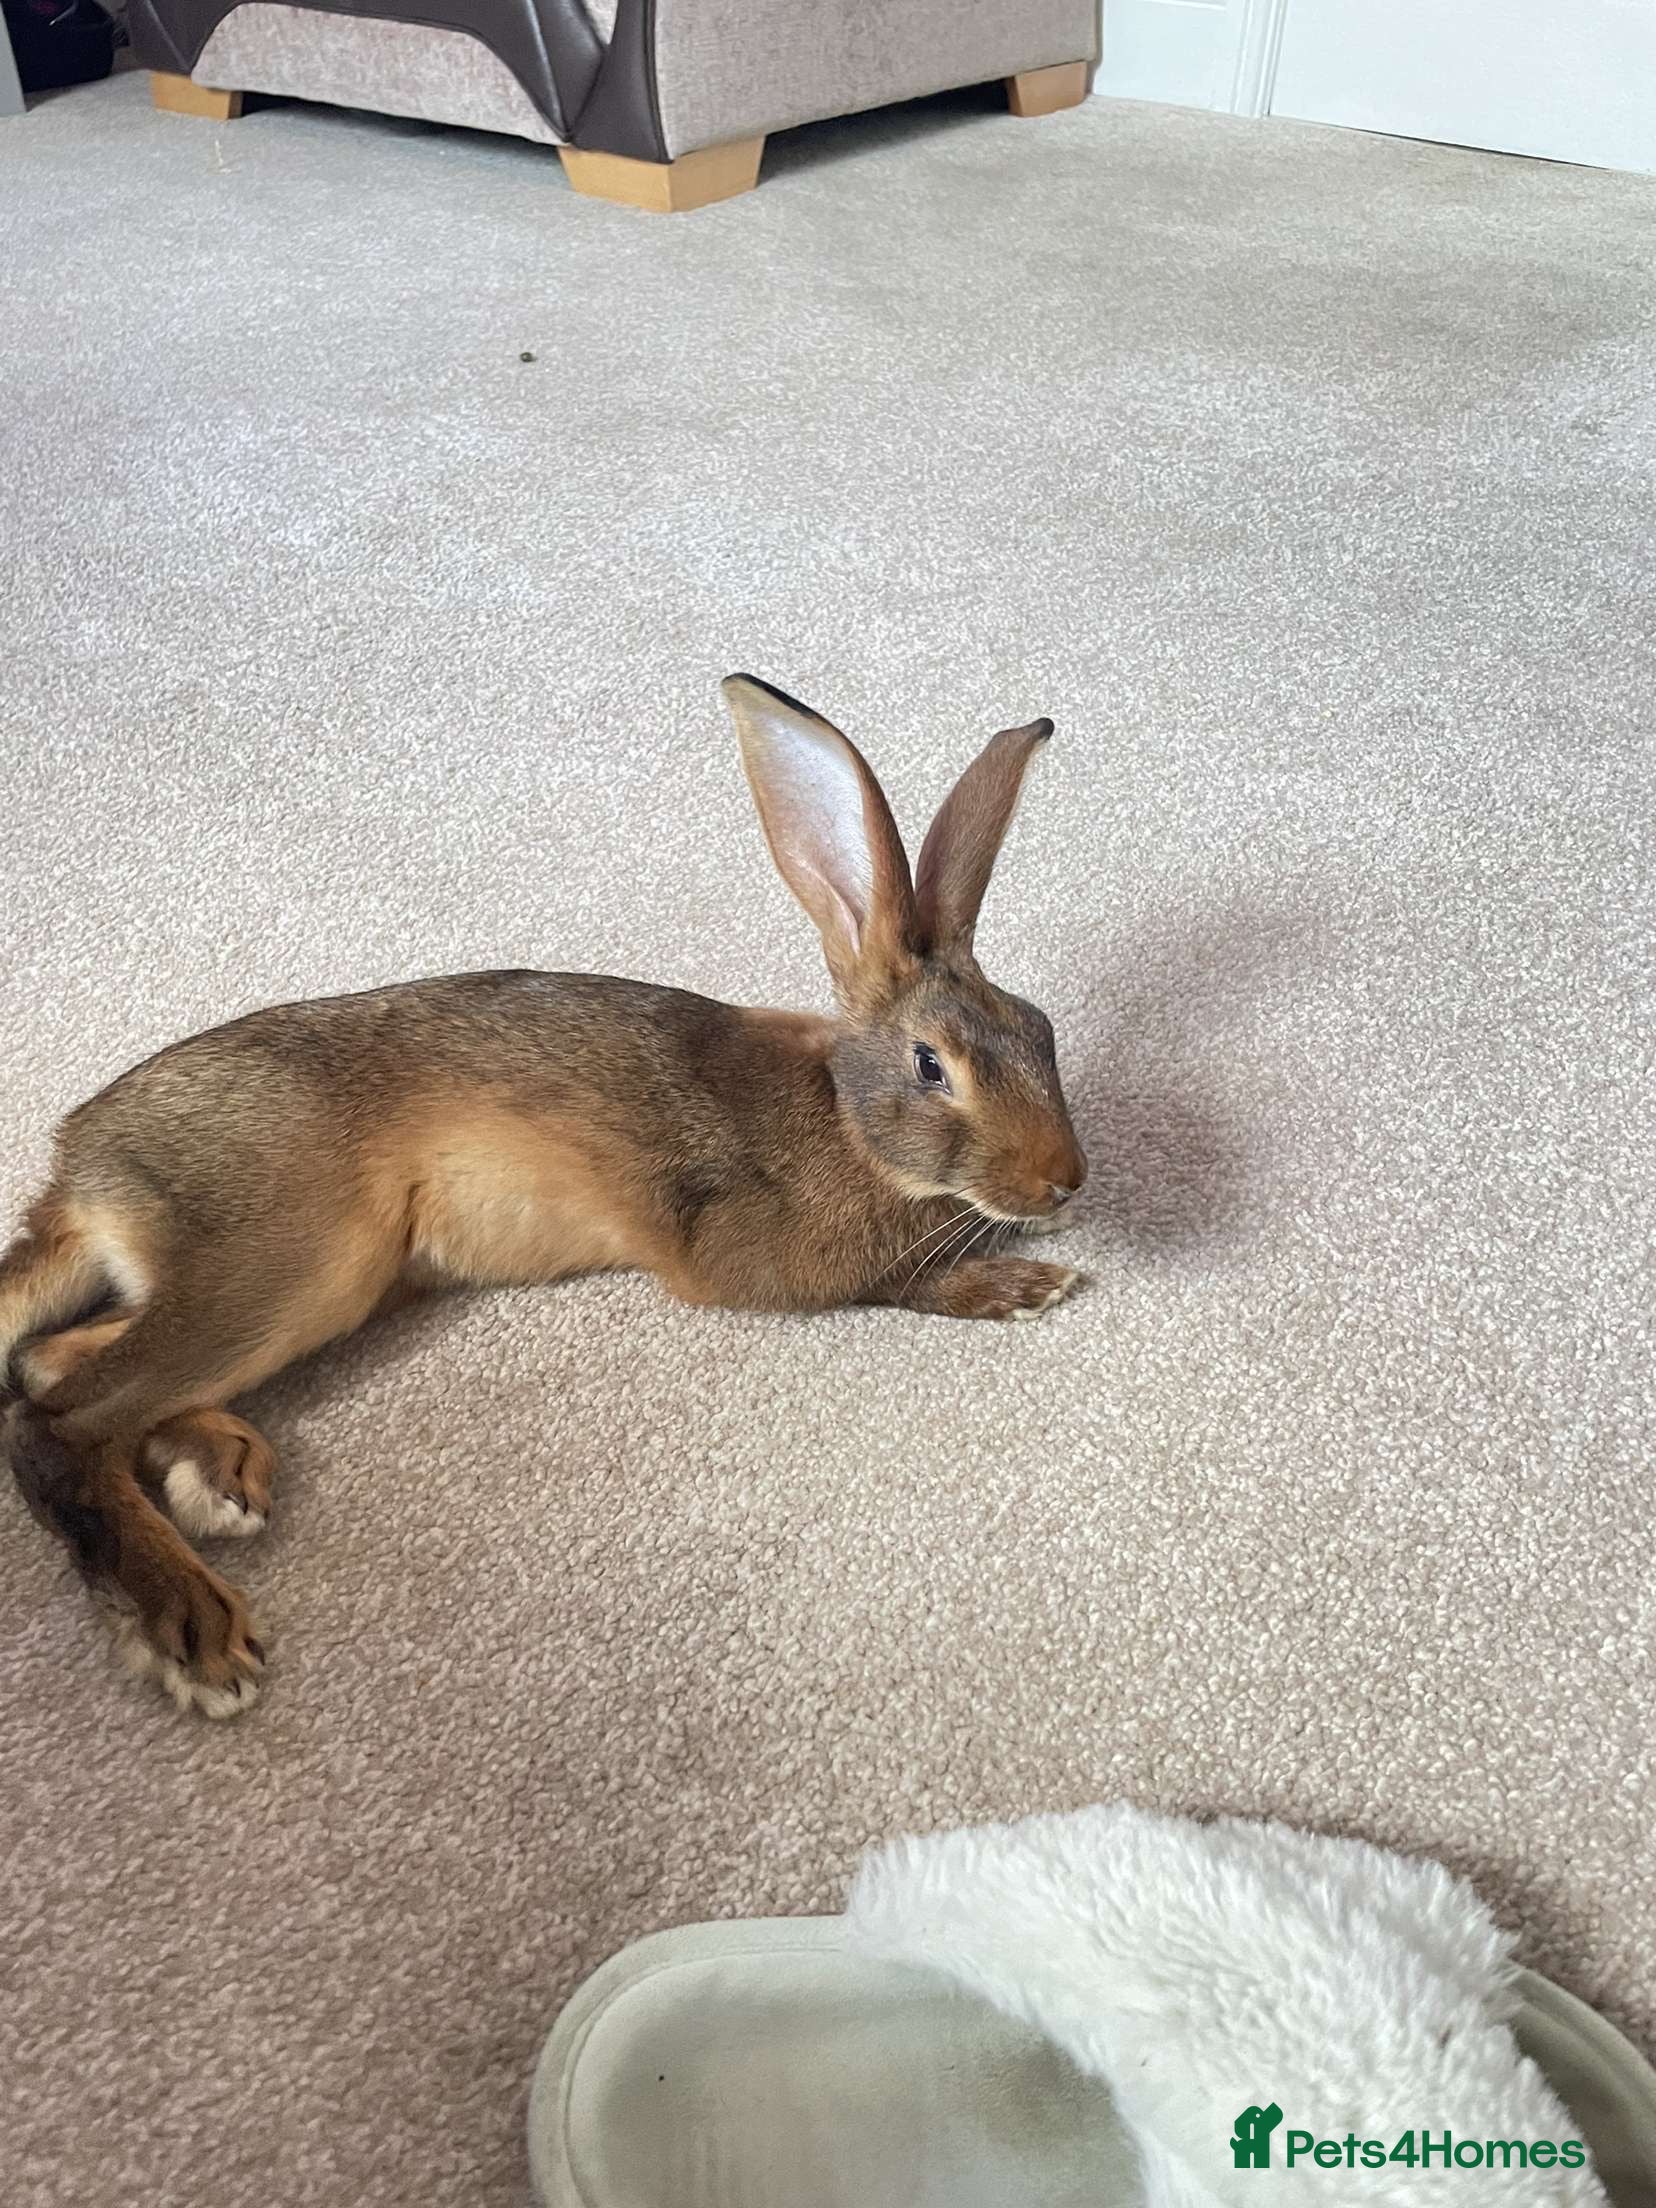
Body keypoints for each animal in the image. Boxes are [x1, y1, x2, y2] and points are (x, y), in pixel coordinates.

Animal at [1, 675, 1087, 1719]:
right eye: (933, 1066)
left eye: (1039, 1029)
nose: (1067, 1181)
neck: (847, 1120)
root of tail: (79, 1175)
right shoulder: (747, 1255)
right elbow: (892, 1280)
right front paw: (1021, 1287)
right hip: (295, 1254)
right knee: (56, 1423)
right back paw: (191, 1625)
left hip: (332, 1281)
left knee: (52, 1363)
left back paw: (218, 1472)